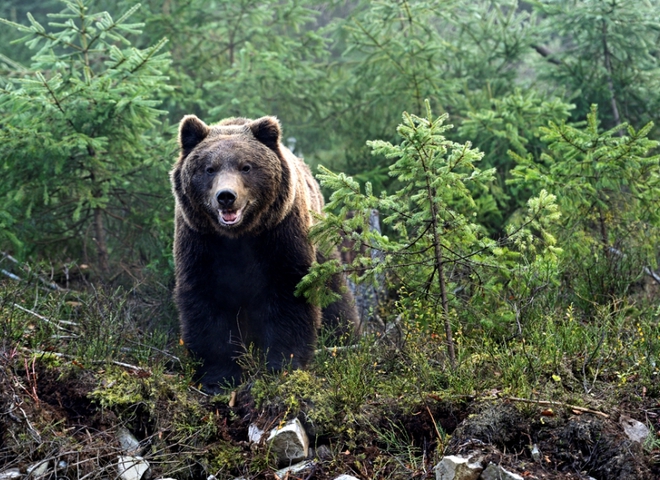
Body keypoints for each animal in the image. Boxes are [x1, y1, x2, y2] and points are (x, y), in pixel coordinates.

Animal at [170, 114, 356, 392]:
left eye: (245, 166)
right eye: (209, 168)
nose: (226, 196)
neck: (239, 236)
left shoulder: (280, 236)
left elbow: (289, 294)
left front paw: (283, 365)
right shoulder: (201, 243)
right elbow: (207, 303)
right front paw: (218, 377)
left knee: (335, 295)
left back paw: (346, 336)